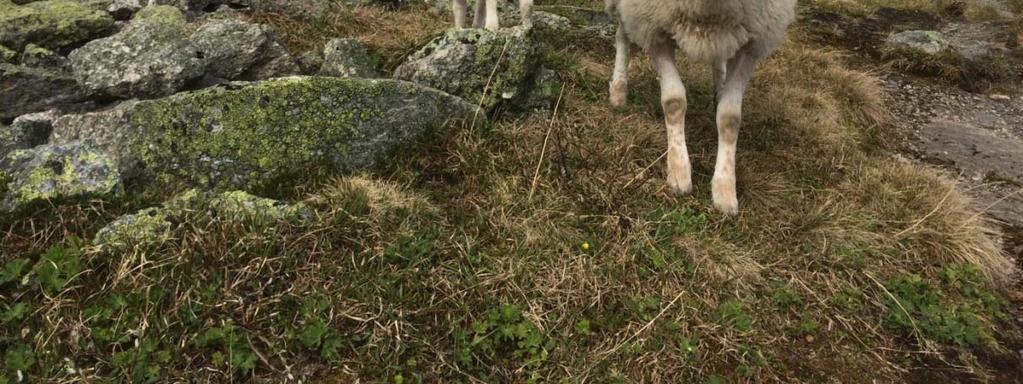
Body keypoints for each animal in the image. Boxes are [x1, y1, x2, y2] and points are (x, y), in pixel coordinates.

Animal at [605, 0, 797, 217]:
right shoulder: (654, 26)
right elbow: (674, 101)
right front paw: (678, 171)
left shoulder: (753, 40)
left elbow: (730, 117)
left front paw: (725, 189)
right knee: (622, 34)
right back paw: (619, 90)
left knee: (719, 56)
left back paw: (719, 89)